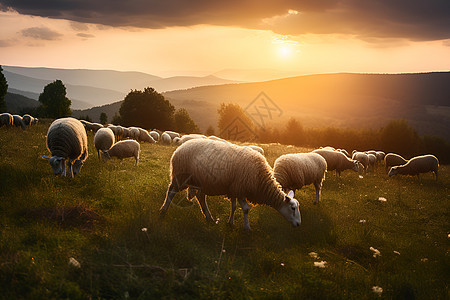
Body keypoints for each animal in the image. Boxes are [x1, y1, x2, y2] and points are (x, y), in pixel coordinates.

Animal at [160, 138, 300, 230]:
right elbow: (245, 209)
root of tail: (180, 147)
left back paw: (209, 217)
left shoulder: (234, 189)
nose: (299, 224)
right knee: (171, 191)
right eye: (293, 208)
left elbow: (233, 206)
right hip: (180, 176)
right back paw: (163, 211)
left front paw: (230, 223)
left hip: (198, 181)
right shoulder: (240, 188)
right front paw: (247, 228)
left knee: (201, 198)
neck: (260, 179)